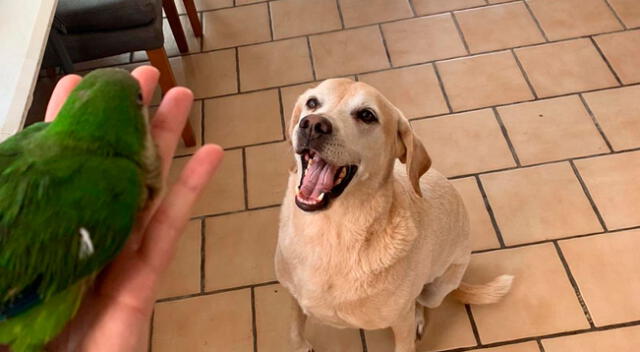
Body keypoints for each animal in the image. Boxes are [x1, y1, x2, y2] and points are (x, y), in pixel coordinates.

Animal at [276, 80, 516, 352]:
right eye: (312, 103)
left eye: (367, 115)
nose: (313, 124)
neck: (331, 234)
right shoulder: (294, 296)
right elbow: (295, 326)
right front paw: (299, 345)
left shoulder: (401, 324)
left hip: (437, 288)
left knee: (420, 301)